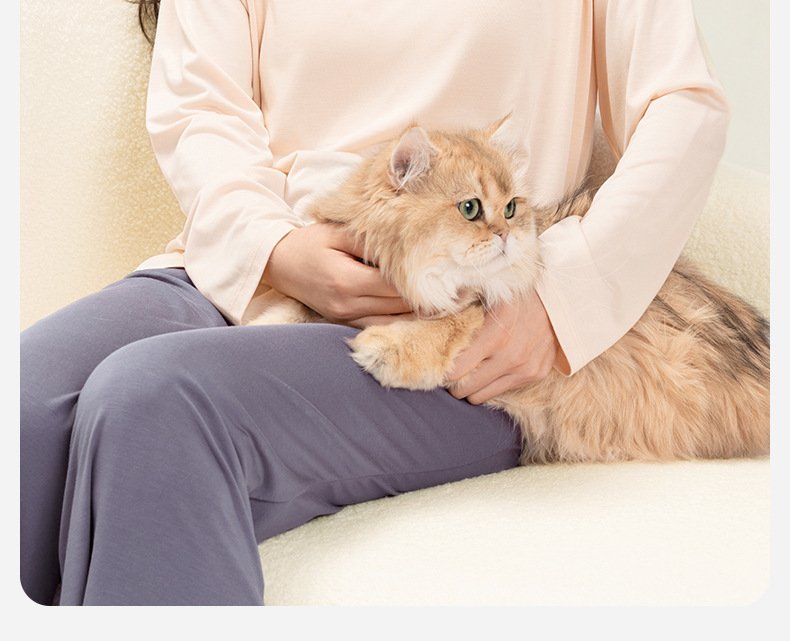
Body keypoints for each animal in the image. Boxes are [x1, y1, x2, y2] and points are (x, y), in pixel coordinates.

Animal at [250, 120, 770, 464]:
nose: (507, 234)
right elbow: (295, 302)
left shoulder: (481, 303)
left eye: (511, 208)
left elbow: (456, 317)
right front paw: (260, 322)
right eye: (470, 208)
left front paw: (391, 350)